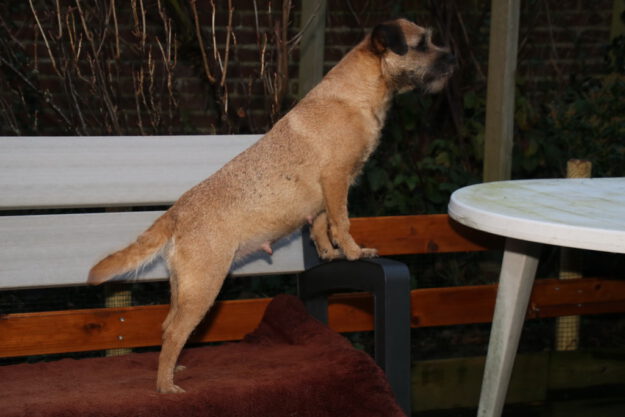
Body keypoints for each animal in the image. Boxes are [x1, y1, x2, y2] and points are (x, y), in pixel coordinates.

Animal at [88, 18, 456, 394]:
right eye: (422, 44)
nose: (452, 59)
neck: (355, 93)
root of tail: (176, 213)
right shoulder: (336, 179)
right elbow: (341, 222)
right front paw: (355, 252)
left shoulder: (323, 195)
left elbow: (321, 226)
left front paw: (330, 254)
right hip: (204, 287)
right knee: (176, 332)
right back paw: (166, 387)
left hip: (183, 287)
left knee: (167, 328)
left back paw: (174, 372)